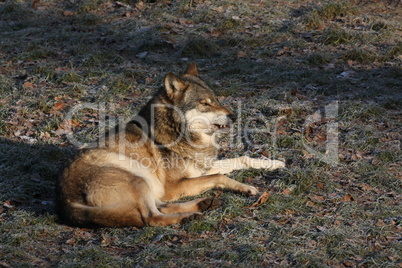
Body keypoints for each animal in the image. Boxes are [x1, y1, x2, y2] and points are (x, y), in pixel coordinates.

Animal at [56, 63, 286, 228]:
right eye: (205, 103)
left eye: (216, 99)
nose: (234, 116)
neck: (176, 133)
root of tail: (64, 201)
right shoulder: (174, 186)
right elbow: (220, 176)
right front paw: (247, 187)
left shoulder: (200, 169)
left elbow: (240, 159)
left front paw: (273, 163)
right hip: (139, 180)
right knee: (151, 217)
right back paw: (189, 216)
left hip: (148, 187)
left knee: (162, 207)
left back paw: (204, 204)